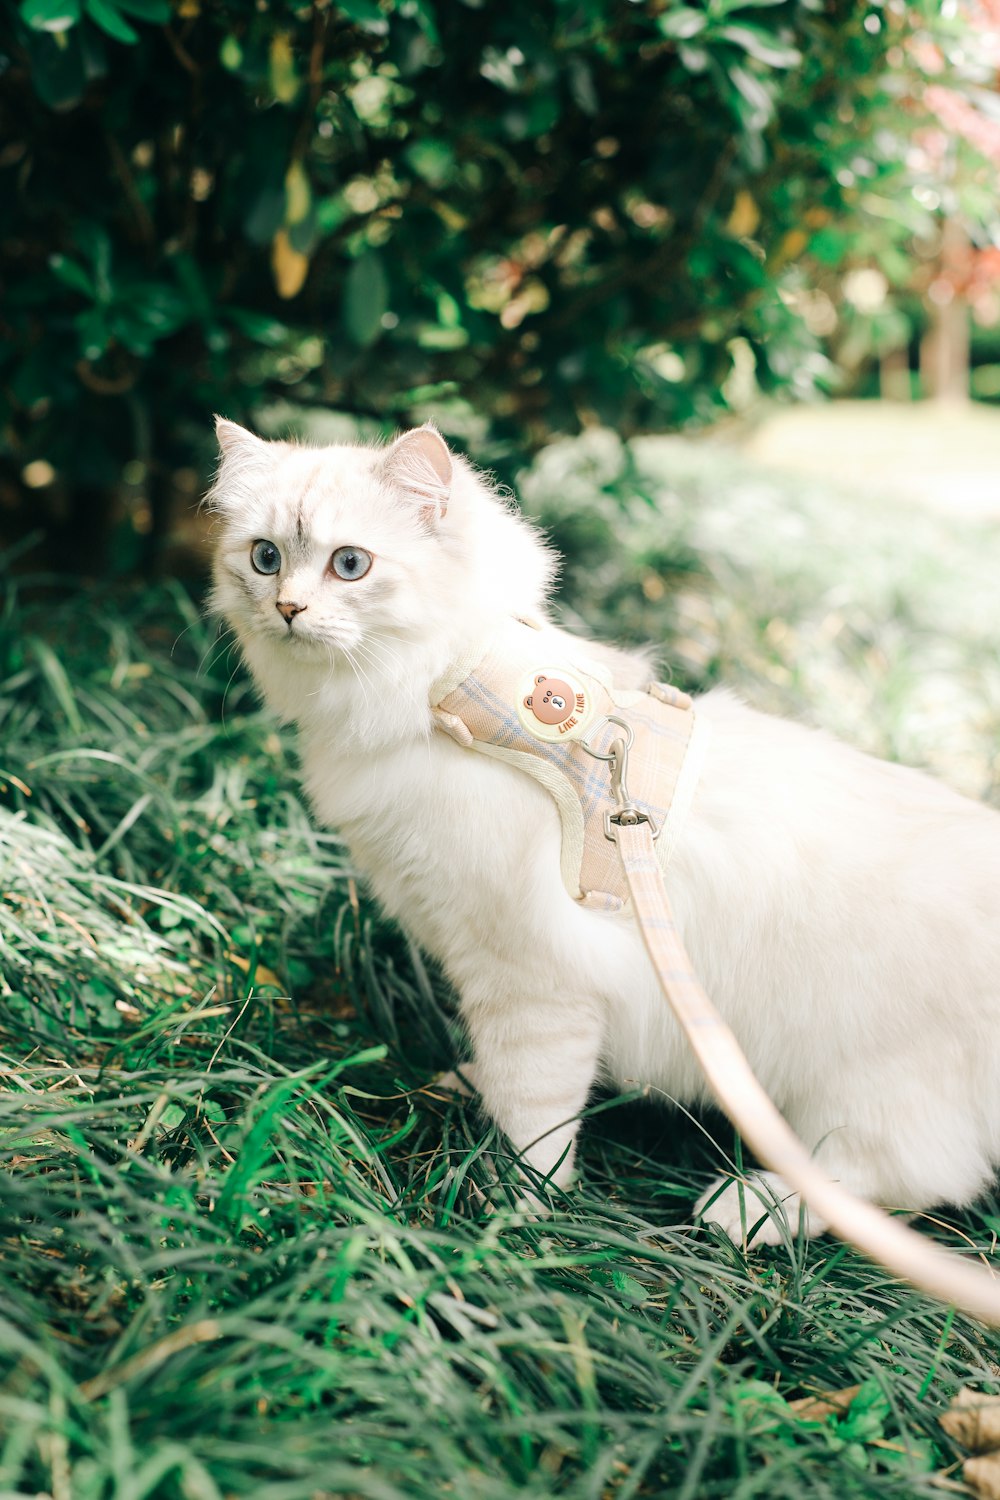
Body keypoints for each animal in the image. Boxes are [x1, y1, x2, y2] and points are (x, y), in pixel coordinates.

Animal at [206, 423, 1000, 1242]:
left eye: (350, 564)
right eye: (265, 557)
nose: (287, 608)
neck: (458, 695)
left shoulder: (534, 980)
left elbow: (535, 1119)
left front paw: (512, 1216)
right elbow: (503, 1078)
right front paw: (472, 1095)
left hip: (860, 1098)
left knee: (894, 1185)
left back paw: (745, 1210)